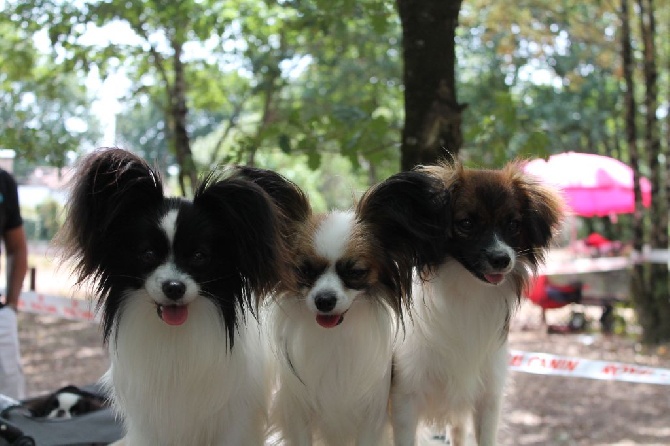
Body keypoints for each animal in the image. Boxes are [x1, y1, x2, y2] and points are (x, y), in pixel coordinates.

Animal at [57, 149, 288, 446]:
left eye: (200, 256)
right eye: (147, 254)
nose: (174, 287)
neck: (174, 337)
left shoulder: (236, 420)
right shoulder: (152, 424)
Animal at [255, 169, 448, 444]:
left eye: (356, 272)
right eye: (304, 271)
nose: (324, 300)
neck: (334, 337)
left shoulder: (371, 416)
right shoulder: (298, 413)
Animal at [392, 160, 564, 446]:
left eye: (513, 224)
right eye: (466, 223)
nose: (502, 259)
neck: (469, 292)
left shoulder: (487, 397)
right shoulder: (405, 401)